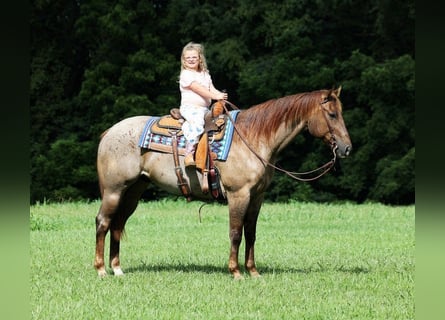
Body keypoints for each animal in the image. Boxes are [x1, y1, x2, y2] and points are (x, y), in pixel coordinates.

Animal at [93, 87, 350, 280]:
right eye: (332, 115)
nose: (347, 148)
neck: (254, 138)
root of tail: (109, 132)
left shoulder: (257, 197)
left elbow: (251, 233)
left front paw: (253, 272)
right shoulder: (239, 194)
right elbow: (236, 232)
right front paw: (235, 272)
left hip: (133, 191)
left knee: (118, 224)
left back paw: (117, 269)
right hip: (114, 191)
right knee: (103, 222)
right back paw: (101, 269)